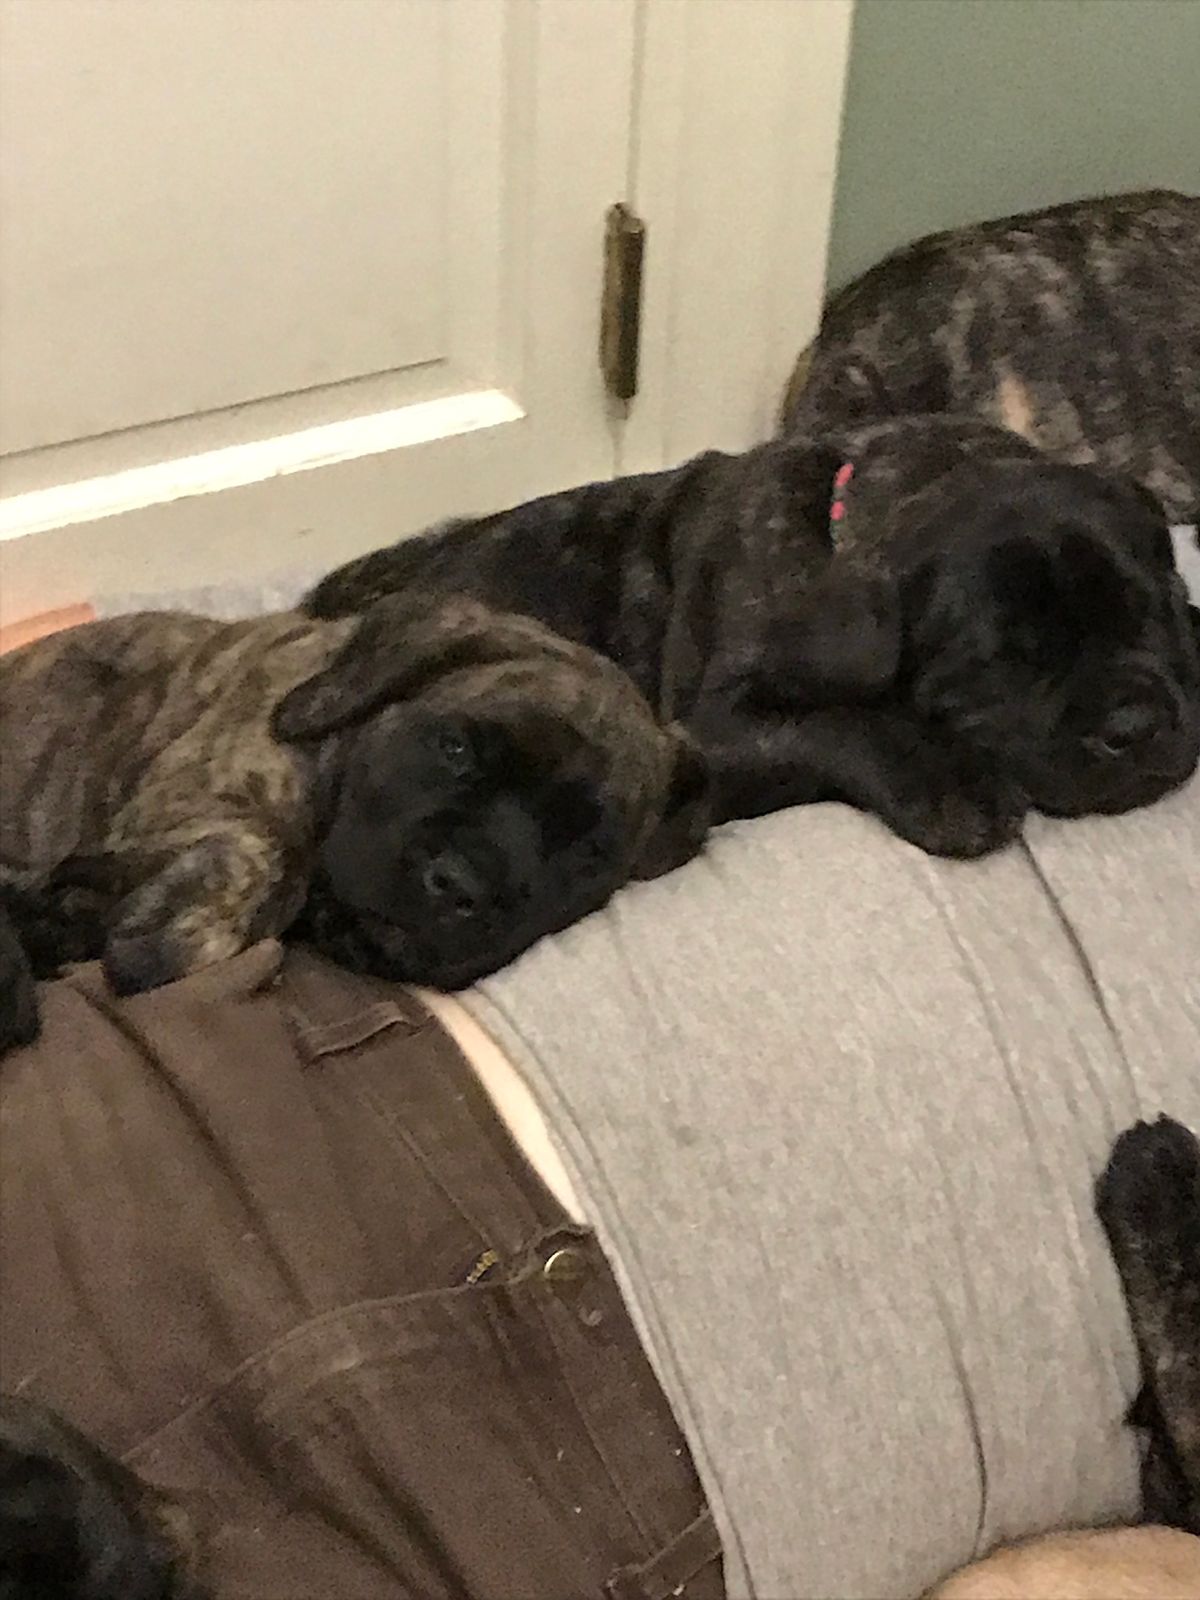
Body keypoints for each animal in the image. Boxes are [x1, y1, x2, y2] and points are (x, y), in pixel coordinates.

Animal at [300, 414, 1200, 863]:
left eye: (1153, 609)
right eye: (1009, 661)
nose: (1136, 726)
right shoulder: (716, 725)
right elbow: (844, 723)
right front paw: (950, 784)